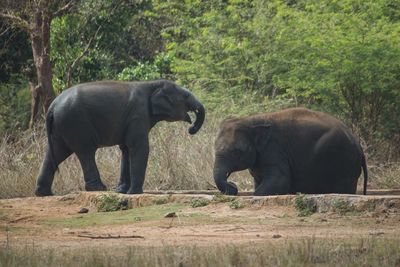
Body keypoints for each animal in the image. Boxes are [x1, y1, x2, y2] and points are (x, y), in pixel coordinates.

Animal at [35, 79, 205, 197]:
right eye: (186, 95)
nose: (191, 129)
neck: (152, 83)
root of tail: (52, 107)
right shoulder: (138, 115)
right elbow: (139, 147)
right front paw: (134, 193)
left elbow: (126, 149)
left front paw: (122, 191)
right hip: (75, 123)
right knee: (85, 152)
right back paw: (99, 188)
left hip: (61, 127)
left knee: (56, 153)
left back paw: (44, 194)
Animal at [214, 107, 368, 197]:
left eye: (237, 151)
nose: (233, 187)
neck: (251, 120)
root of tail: (359, 147)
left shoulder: (275, 149)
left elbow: (279, 182)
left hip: (344, 161)